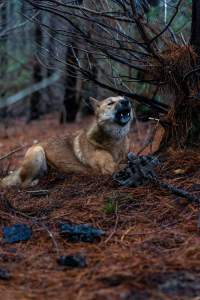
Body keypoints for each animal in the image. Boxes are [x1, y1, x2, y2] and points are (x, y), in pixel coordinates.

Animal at [1, 95, 134, 188]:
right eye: (110, 103)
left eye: (122, 98)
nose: (127, 100)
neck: (116, 140)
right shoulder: (110, 167)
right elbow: (124, 165)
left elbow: (128, 160)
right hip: (38, 152)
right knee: (22, 185)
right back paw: (34, 183)